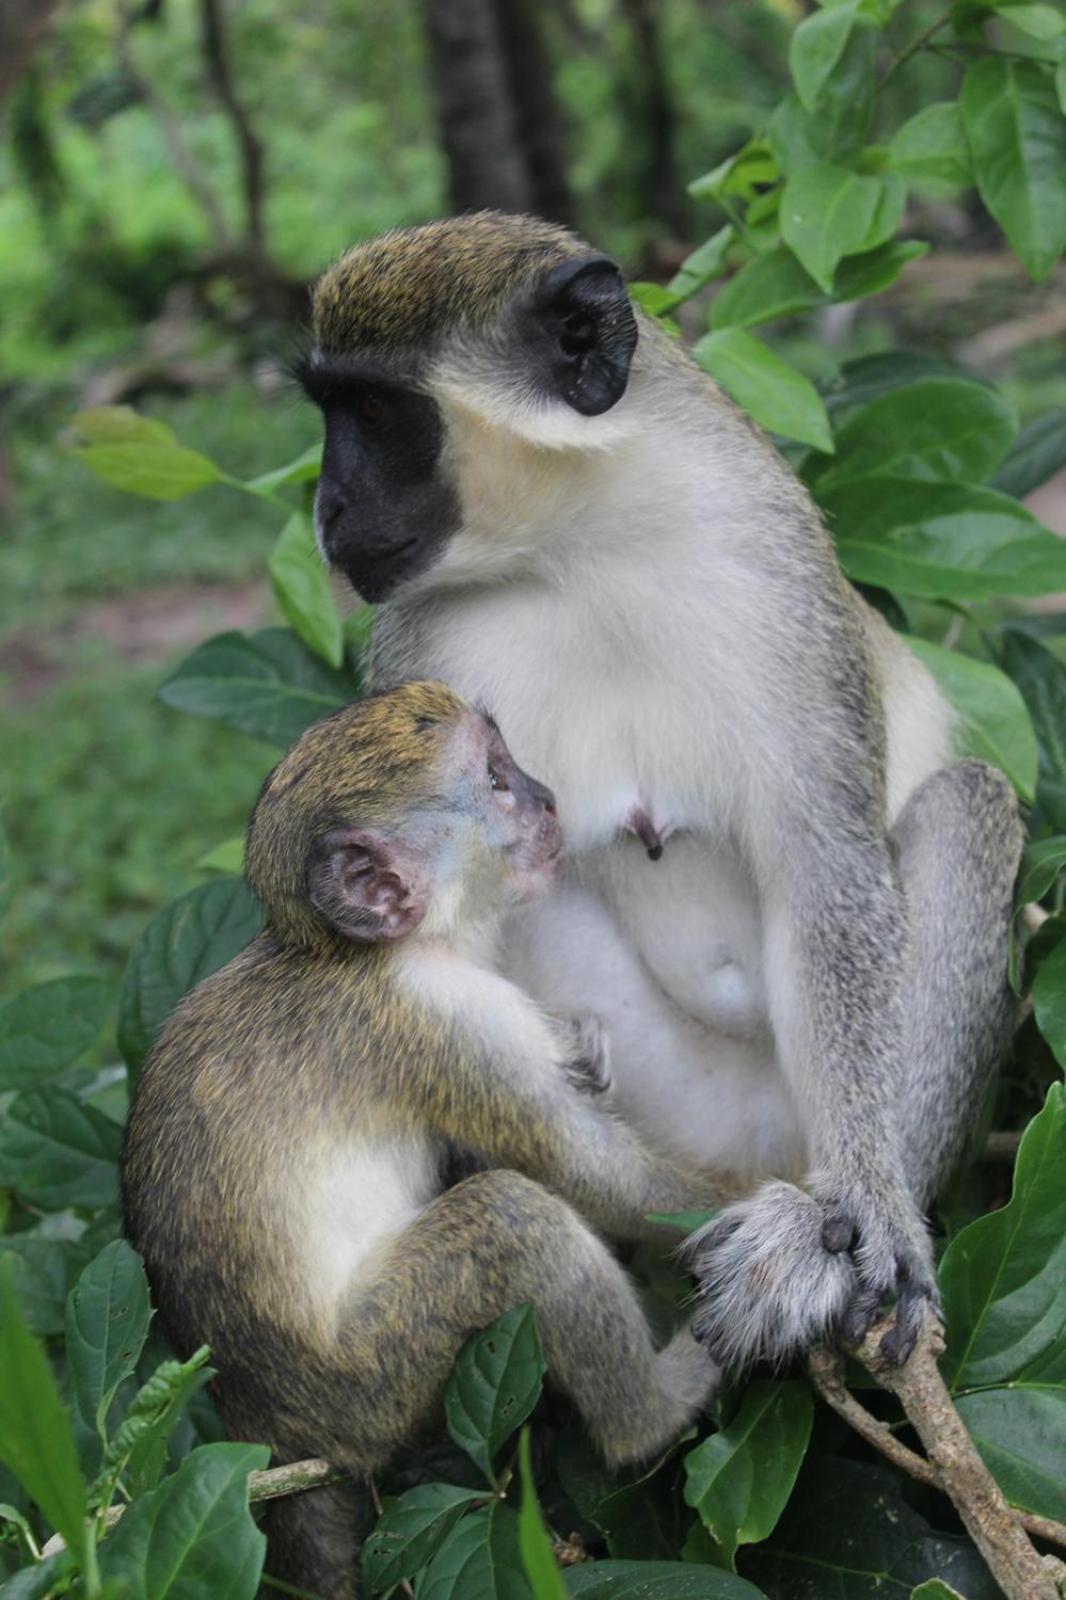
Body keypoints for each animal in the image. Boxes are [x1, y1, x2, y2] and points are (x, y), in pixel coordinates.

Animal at [120, 681, 726, 1600]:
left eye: (512, 762)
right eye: (497, 782)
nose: (549, 799)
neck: (359, 951)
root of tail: (270, 1426)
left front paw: (585, 1047)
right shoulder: (446, 1020)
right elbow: (579, 1170)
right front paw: (800, 1218)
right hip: (373, 1374)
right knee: (511, 1220)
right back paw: (649, 1415)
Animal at [296, 206, 1024, 1369]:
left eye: (375, 413)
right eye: (329, 411)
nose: (328, 506)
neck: (578, 544)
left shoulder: (770, 560)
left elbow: (828, 872)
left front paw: (872, 1209)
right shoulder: (417, 647)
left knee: (968, 805)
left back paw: (817, 1226)